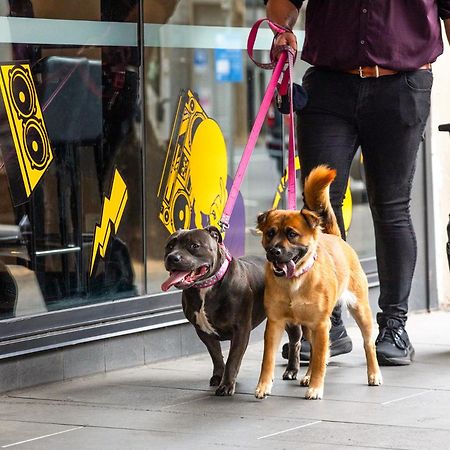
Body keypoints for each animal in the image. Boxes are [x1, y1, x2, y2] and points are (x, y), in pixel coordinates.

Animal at [160, 227, 300, 396]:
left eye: (194, 246)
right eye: (169, 246)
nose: (172, 257)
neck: (206, 286)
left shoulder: (240, 331)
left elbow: (233, 359)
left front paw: (226, 385)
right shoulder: (203, 332)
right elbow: (216, 355)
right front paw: (219, 376)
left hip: (290, 320)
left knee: (295, 342)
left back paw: (292, 370)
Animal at [255, 166, 382, 400]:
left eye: (292, 234)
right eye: (270, 233)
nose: (274, 251)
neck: (295, 281)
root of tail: (336, 237)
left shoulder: (322, 324)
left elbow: (321, 360)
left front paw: (316, 387)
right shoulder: (275, 323)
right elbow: (267, 359)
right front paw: (263, 385)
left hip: (360, 310)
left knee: (368, 344)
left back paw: (374, 374)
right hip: (308, 327)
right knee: (314, 351)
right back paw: (306, 375)